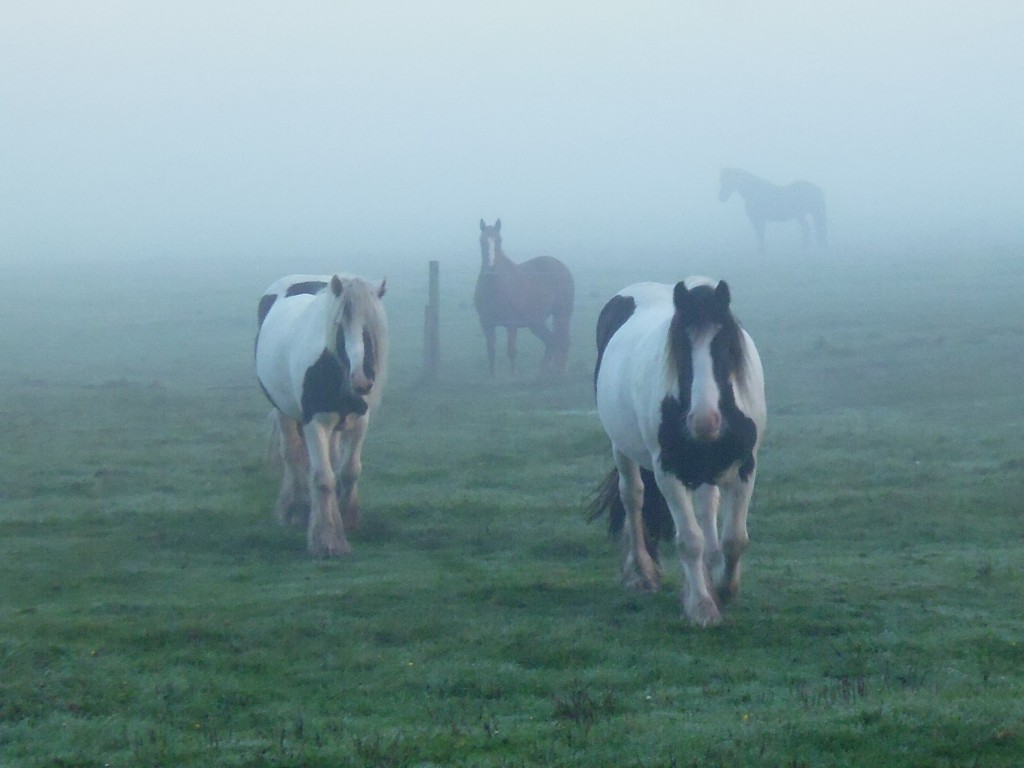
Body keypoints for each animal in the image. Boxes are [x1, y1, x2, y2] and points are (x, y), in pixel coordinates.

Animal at [253, 274, 385, 557]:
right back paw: (295, 509)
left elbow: (349, 471)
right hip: (284, 413)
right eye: (338, 325)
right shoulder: (314, 423)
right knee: (292, 455)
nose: (361, 381)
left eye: (371, 327)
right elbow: (323, 478)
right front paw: (327, 539)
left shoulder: (360, 422)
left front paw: (348, 518)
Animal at [473, 219, 573, 378]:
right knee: (551, 341)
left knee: (564, 341)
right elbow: (491, 351)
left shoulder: (511, 324)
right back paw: (542, 372)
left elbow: (512, 350)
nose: (491, 268)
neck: (494, 286)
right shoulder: (486, 324)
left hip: (562, 315)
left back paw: (562, 372)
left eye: (499, 240)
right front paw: (493, 377)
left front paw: (514, 376)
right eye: (482, 241)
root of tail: (562, 268)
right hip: (536, 323)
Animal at [593, 280, 761, 626]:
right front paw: (701, 606)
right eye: (680, 348)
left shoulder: (745, 466)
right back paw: (641, 573)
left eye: (727, 345)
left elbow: (734, 539)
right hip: (623, 449)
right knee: (633, 498)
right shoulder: (668, 472)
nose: (704, 421)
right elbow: (690, 541)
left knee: (708, 506)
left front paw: (724, 587)